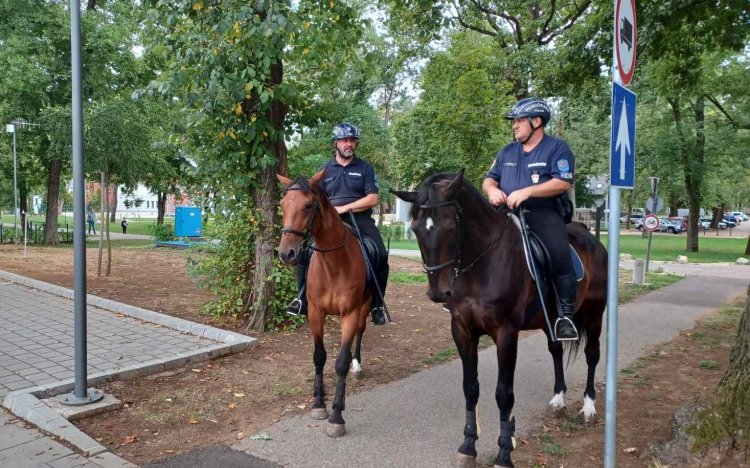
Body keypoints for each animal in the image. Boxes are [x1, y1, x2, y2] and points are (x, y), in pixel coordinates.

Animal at [276, 169, 374, 438]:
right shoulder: (315, 313)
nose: (286, 254)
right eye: (282, 205)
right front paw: (319, 404)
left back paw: (357, 365)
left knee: (359, 334)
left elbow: (340, 362)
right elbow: (319, 356)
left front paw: (337, 416)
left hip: (365, 308)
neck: (333, 264)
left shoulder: (350, 314)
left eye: (309, 205)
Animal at [394, 172, 612, 468]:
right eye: (416, 228)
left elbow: (504, 394)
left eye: (450, 226)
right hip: (550, 319)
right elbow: (470, 388)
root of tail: (591, 237)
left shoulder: (506, 334)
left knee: (592, 354)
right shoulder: (462, 330)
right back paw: (558, 398)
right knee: (555, 350)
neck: (481, 264)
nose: (439, 292)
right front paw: (468, 445)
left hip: (593, 313)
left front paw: (504, 452)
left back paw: (588, 406)